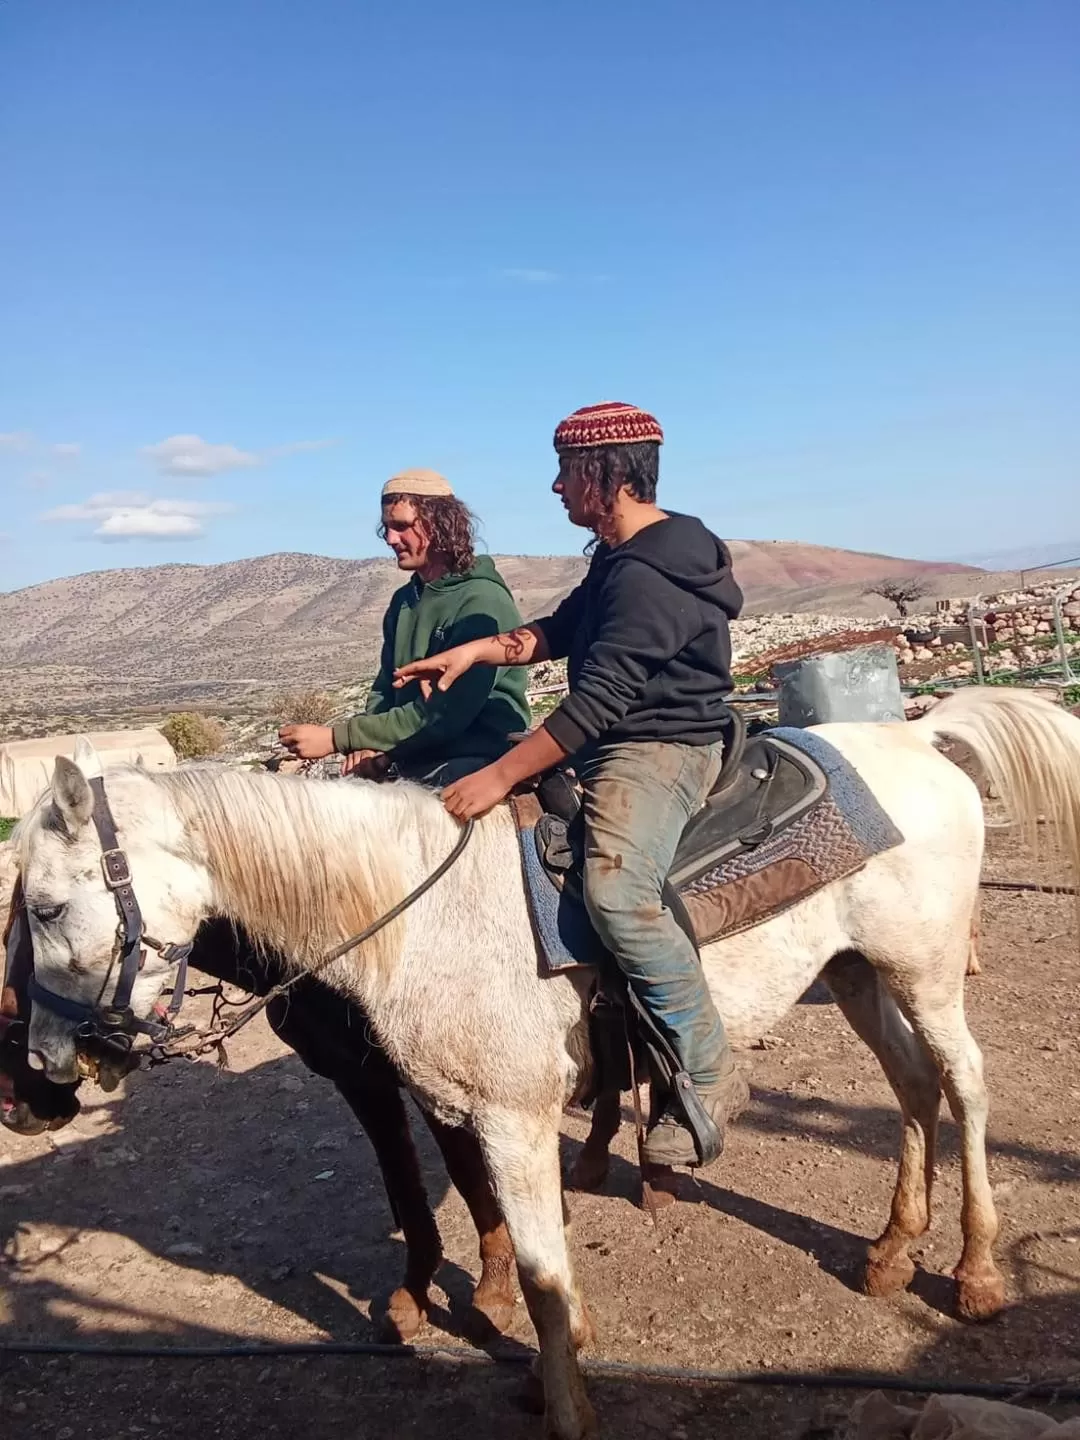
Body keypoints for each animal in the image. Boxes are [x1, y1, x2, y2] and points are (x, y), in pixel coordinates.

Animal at [2, 885, 516, 1341]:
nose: (14, 1105)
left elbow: (467, 1177)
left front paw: (492, 1295)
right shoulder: (359, 1079)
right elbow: (406, 1188)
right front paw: (412, 1298)